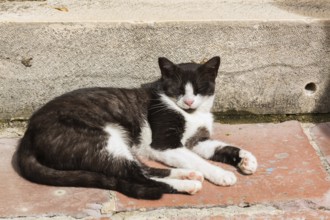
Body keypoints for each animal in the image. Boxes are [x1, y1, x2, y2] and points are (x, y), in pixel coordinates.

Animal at [16, 56, 258, 199]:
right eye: (179, 89)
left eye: (198, 89)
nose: (189, 102)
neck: (192, 115)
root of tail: (28, 135)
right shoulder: (164, 144)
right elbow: (199, 160)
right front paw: (221, 174)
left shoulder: (197, 141)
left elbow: (217, 147)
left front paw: (246, 159)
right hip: (102, 140)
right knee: (135, 174)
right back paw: (187, 184)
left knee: (143, 169)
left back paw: (187, 175)